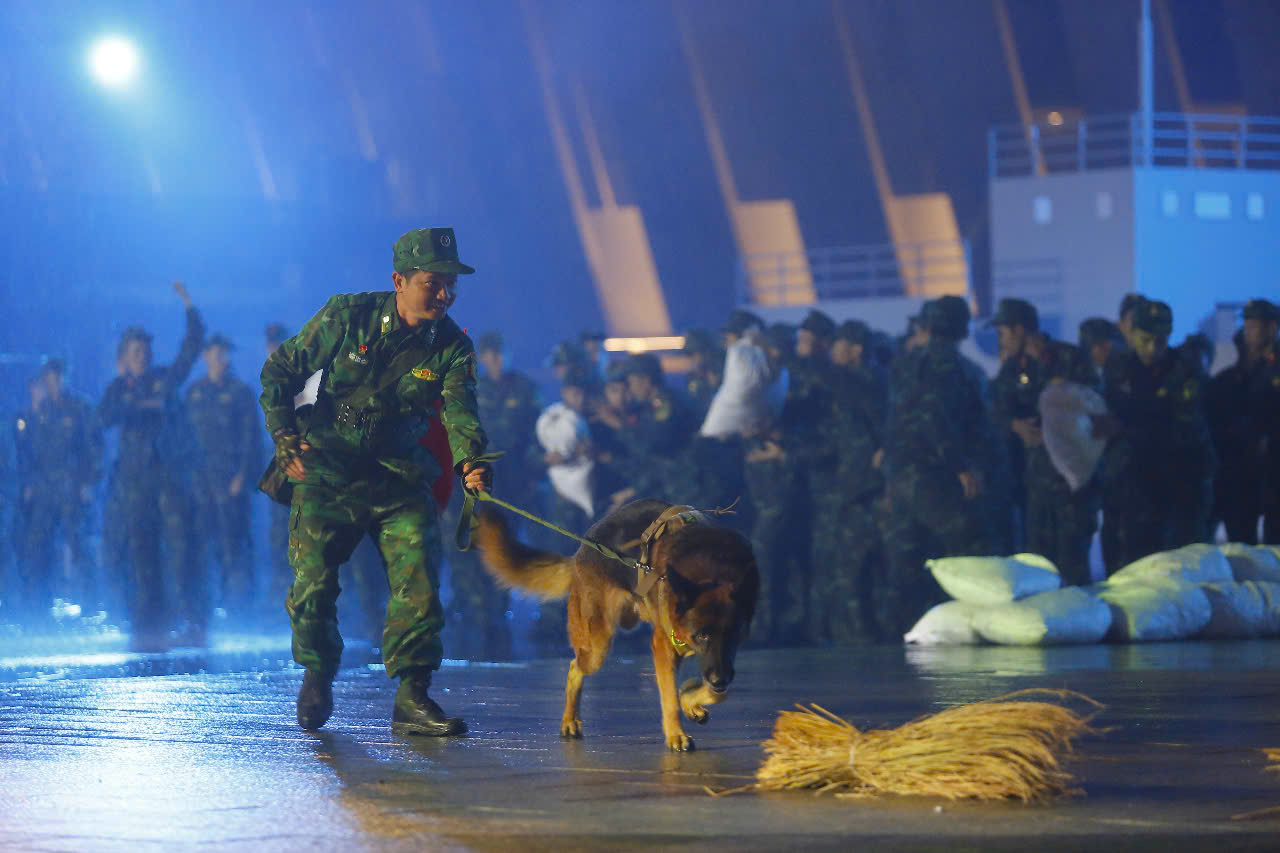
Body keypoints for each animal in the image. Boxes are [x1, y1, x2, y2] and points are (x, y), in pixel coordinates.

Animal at [478, 494, 757, 747]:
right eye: (702, 635)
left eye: (734, 634)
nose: (720, 679)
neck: (712, 569)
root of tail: (583, 550)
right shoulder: (665, 646)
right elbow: (671, 699)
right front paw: (677, 733)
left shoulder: (717, 658)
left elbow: (713, 693)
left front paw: (691, 698)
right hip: (597, 646)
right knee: (575, 666)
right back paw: (569, 720)